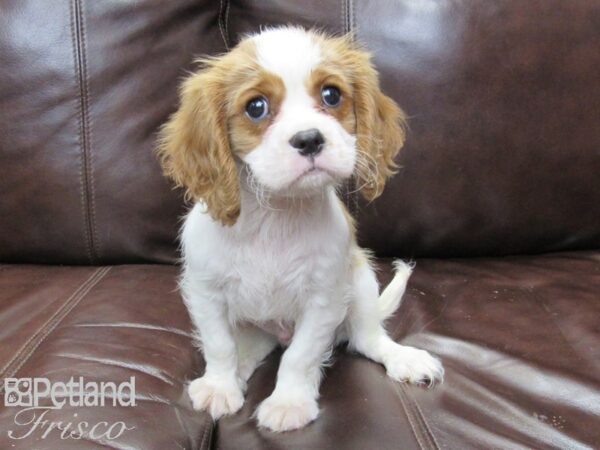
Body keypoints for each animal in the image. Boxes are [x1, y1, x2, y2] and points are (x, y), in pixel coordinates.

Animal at [157, 25, 442, 432]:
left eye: (331, 95)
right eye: (256, 107)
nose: (309, 138)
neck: (276, 215)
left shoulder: (324, 298)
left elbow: (300, 355)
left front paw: (289, 402)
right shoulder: (205, 291)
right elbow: (219, 345)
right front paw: (219, 387)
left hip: (362, 281)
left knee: (367, 339)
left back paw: (404, 357)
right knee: (248, 348)